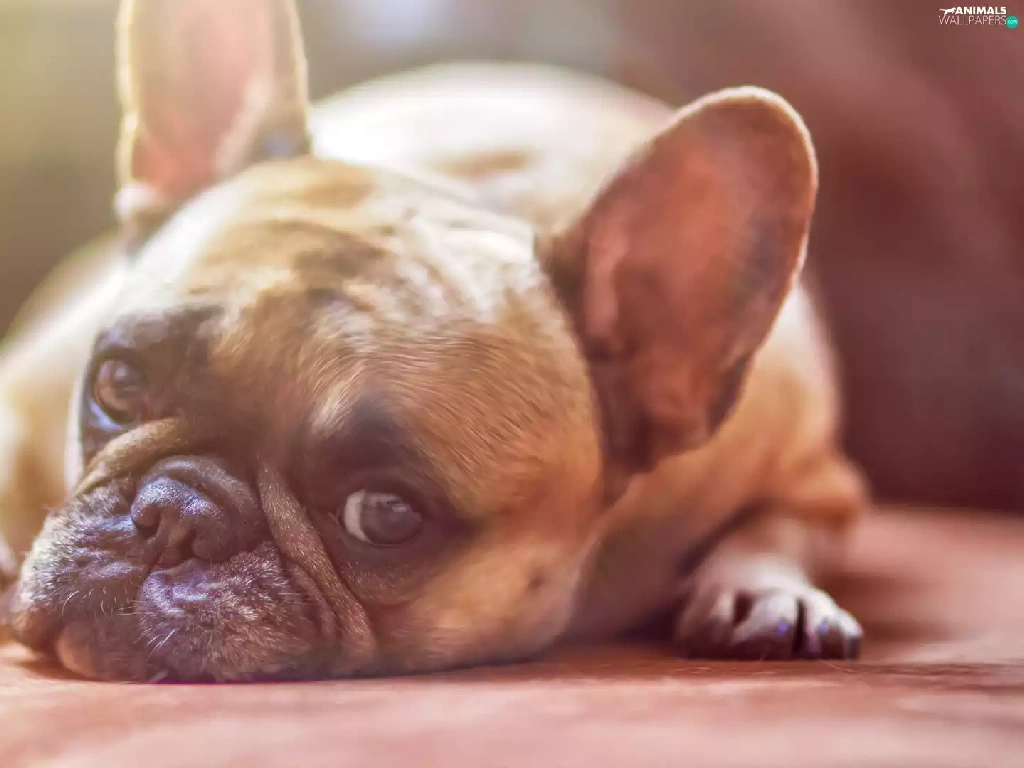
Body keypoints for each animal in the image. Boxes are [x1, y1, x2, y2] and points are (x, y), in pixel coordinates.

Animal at [0, 0, 866, 681]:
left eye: (385, 515)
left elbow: (783, 525)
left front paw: (766, 588)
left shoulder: (818, 477)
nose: (177, 511)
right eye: (117, 384)